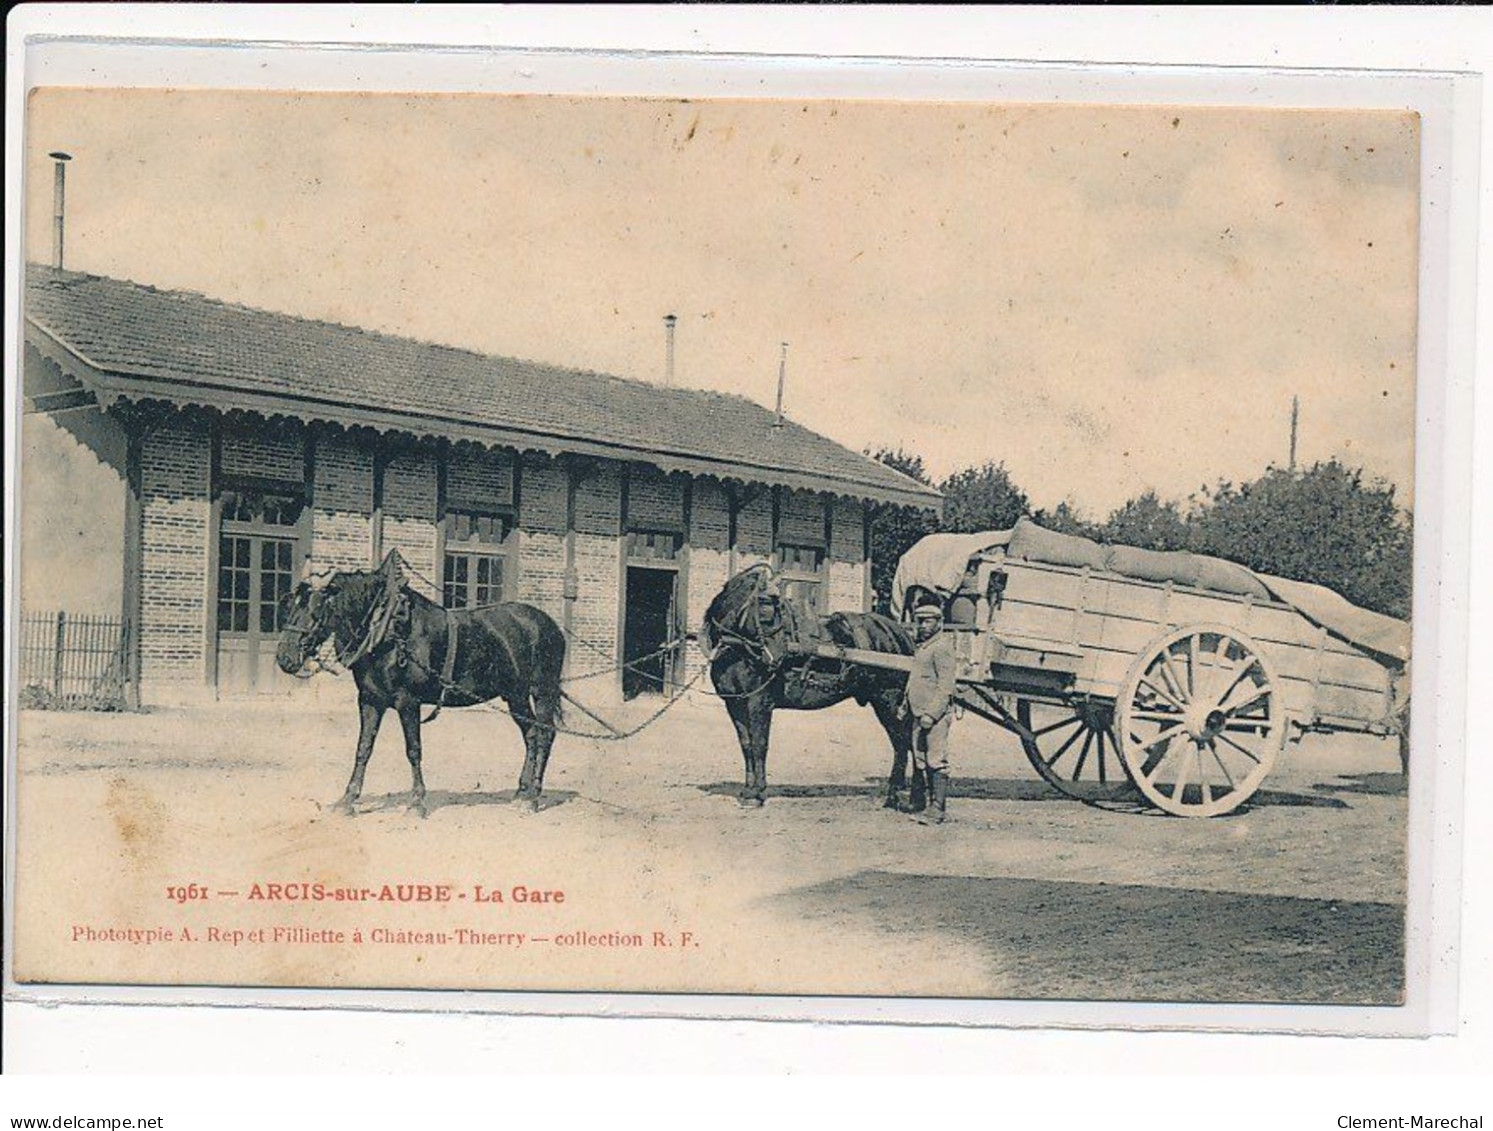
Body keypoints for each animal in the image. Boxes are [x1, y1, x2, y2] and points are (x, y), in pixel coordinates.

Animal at [274, 555, 564, 817]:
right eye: (289, 605)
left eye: (314, 609)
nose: (284, 658)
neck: (387, 632)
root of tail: (550, 624)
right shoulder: (369, 700)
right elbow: (363, 749)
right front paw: (348, 799)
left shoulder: (408, 701)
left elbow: (413, 750)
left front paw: (416, 802)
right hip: (514, 695)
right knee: (531, 735)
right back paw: (521, 792)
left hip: (542, 691)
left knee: (545, 735)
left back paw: (533, 797)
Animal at [701, 569, 919, 811]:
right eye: (766, 604)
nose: (778, 657)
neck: (738, 650)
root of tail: (900, 634)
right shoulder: (735, 703)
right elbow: (746, 746)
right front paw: (748, 791)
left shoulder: (759, 702)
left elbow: (760, 745)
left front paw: (758, 793)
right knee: (902, 743)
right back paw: (898, 796)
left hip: (889, 700)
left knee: (904, 742)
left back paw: (901, 795)